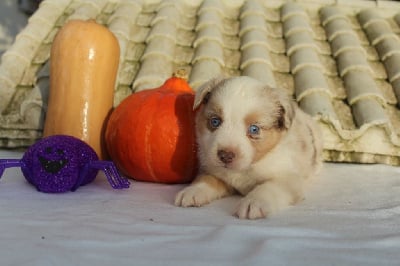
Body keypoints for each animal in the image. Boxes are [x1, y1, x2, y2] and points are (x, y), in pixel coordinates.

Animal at [174, 76, 322, 219]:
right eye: (215, 121)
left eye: (254, 129)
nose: (225, 156)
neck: (245, 168)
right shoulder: (214, 170)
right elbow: (207, 179)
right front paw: (192, 191)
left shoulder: (288, 178)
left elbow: (268, 187)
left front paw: (254, 202)